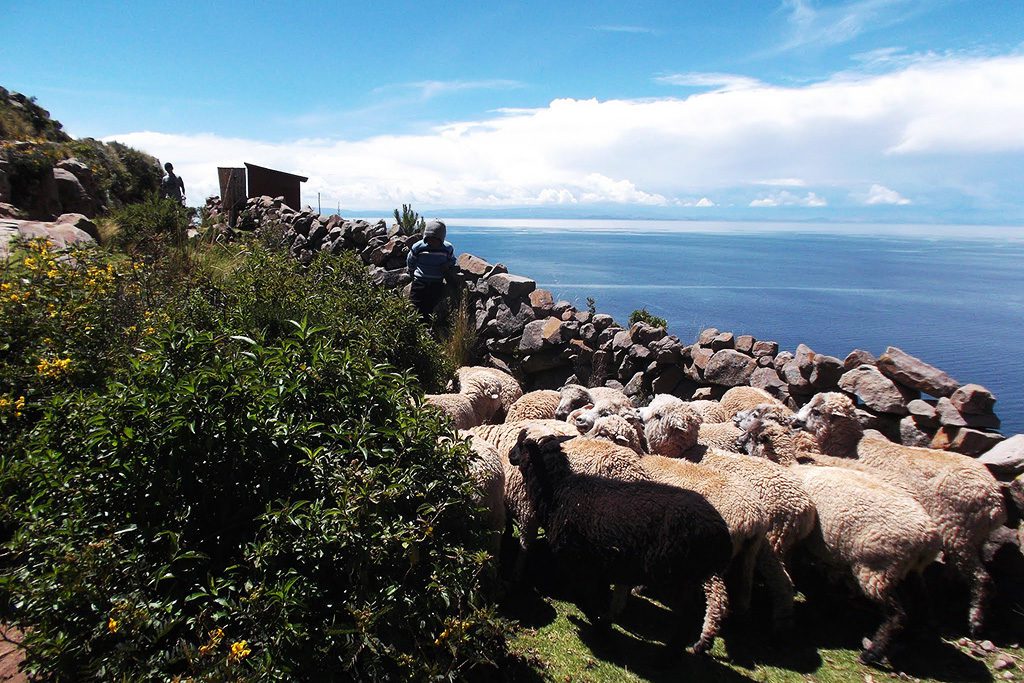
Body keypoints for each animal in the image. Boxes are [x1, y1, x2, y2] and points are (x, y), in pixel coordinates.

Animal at [505, 428, 733, 655]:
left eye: (523, 445)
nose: (509, 454)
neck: (558, 490)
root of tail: (721, 531)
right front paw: (604, 618)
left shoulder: (578, 560)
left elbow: (583, 596)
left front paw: (598, 623)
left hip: (676, 574)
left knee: (690, 614)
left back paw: (674, 650)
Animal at [737, 413, 942, 663]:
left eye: (752, 435)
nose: (738, 440)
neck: (790, 465)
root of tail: (928, 538)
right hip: (909, 570)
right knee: (923, 602)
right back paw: (913, 637)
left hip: (876, 568)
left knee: (897, 614)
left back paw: (872, 652)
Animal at [790, 393, 1007, 638]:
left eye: (816, 412)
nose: (794, 421)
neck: (850, 445)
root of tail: (995, 501)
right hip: (973, 536)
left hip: (958, 532)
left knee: (982, 579)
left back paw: (975, 623)